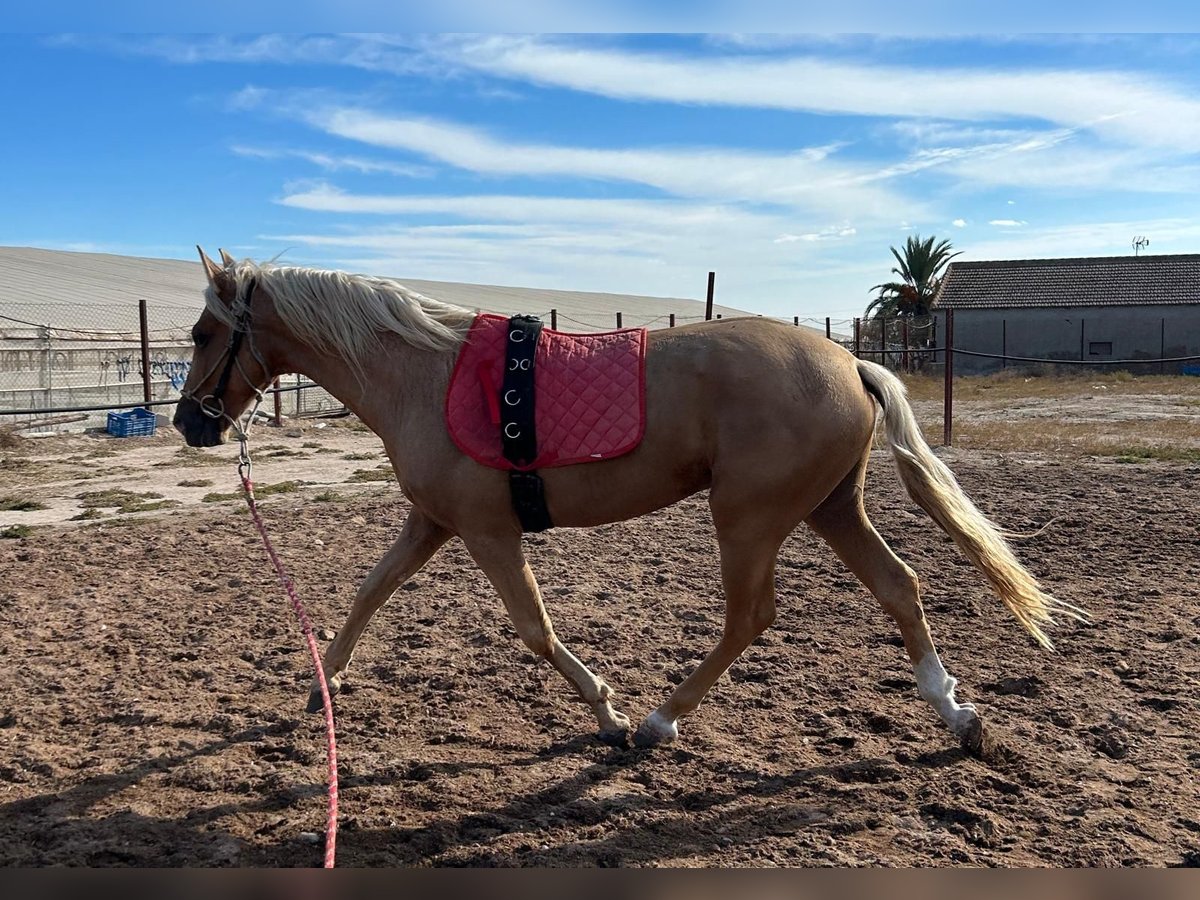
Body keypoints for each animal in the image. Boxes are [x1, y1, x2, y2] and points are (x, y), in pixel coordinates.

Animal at [174, 248, 1084, 753]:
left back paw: (655, 723)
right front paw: (317, 690)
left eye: (203, 333)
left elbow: (535, 630)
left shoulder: (486, 533)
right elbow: (369, 593)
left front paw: (607, 712)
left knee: (751, 619)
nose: (189, 423)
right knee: (900, 587)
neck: (424, 376)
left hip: (748, 518)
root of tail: (850, 362)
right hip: (830, 508)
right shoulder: (432, 523)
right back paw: (957, 717)